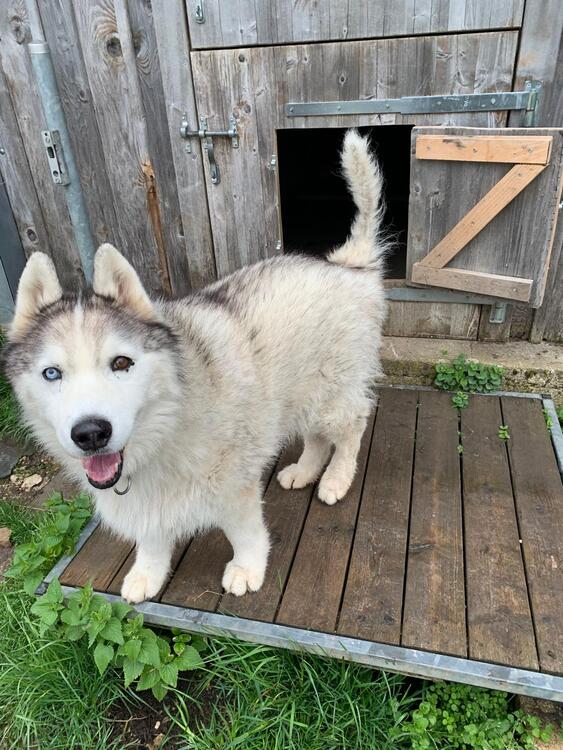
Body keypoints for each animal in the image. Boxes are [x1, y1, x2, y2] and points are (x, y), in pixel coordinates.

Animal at [3, 130, 387, 604]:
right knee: (316, 436)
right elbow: (151, 538)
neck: (166, 427)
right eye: (52, 373)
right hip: (301, 396)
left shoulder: (233, 484)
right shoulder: (144, 501)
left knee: (351, 427)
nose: (91, 433)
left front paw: (248, 567)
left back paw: (336, 478)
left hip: (331, 395)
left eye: (121, 362)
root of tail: (346, 264)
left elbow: (243, 531)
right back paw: (305, 470)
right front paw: (148, 572)